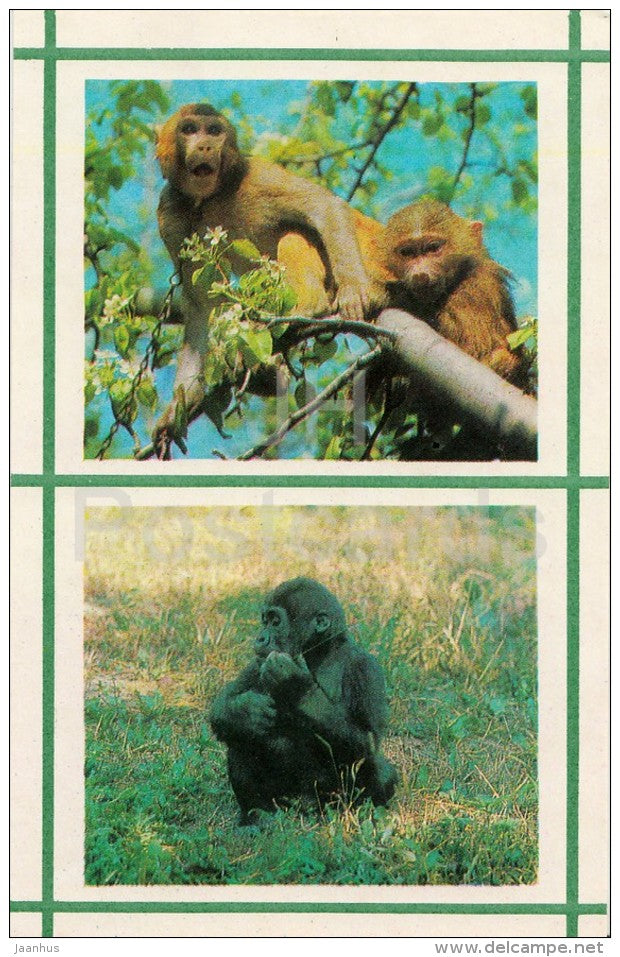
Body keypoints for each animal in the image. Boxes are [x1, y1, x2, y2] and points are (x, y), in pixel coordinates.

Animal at [154, 104, 378, 445]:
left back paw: (308, 306)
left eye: (214, 131)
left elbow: (324, 206)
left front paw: (353, 290)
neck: (210, 198)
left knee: (296, 231)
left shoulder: (257, 176)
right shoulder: (169, 211)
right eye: (189, 130)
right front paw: (183, 402)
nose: (205, 146)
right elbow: (199, 303)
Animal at [210, 577, 398, 824]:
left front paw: (294, 684)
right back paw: (256, 816)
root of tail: (306, 806)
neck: (318, 652)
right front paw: (247, 711)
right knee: (240, 737)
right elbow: (222, 708)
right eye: (265, 621)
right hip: (285, 801)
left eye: (276, 622)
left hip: (330, 800)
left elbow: (367, 739)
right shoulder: (257, 663)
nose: (260, 637)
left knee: (378, 769)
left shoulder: (366, 667)